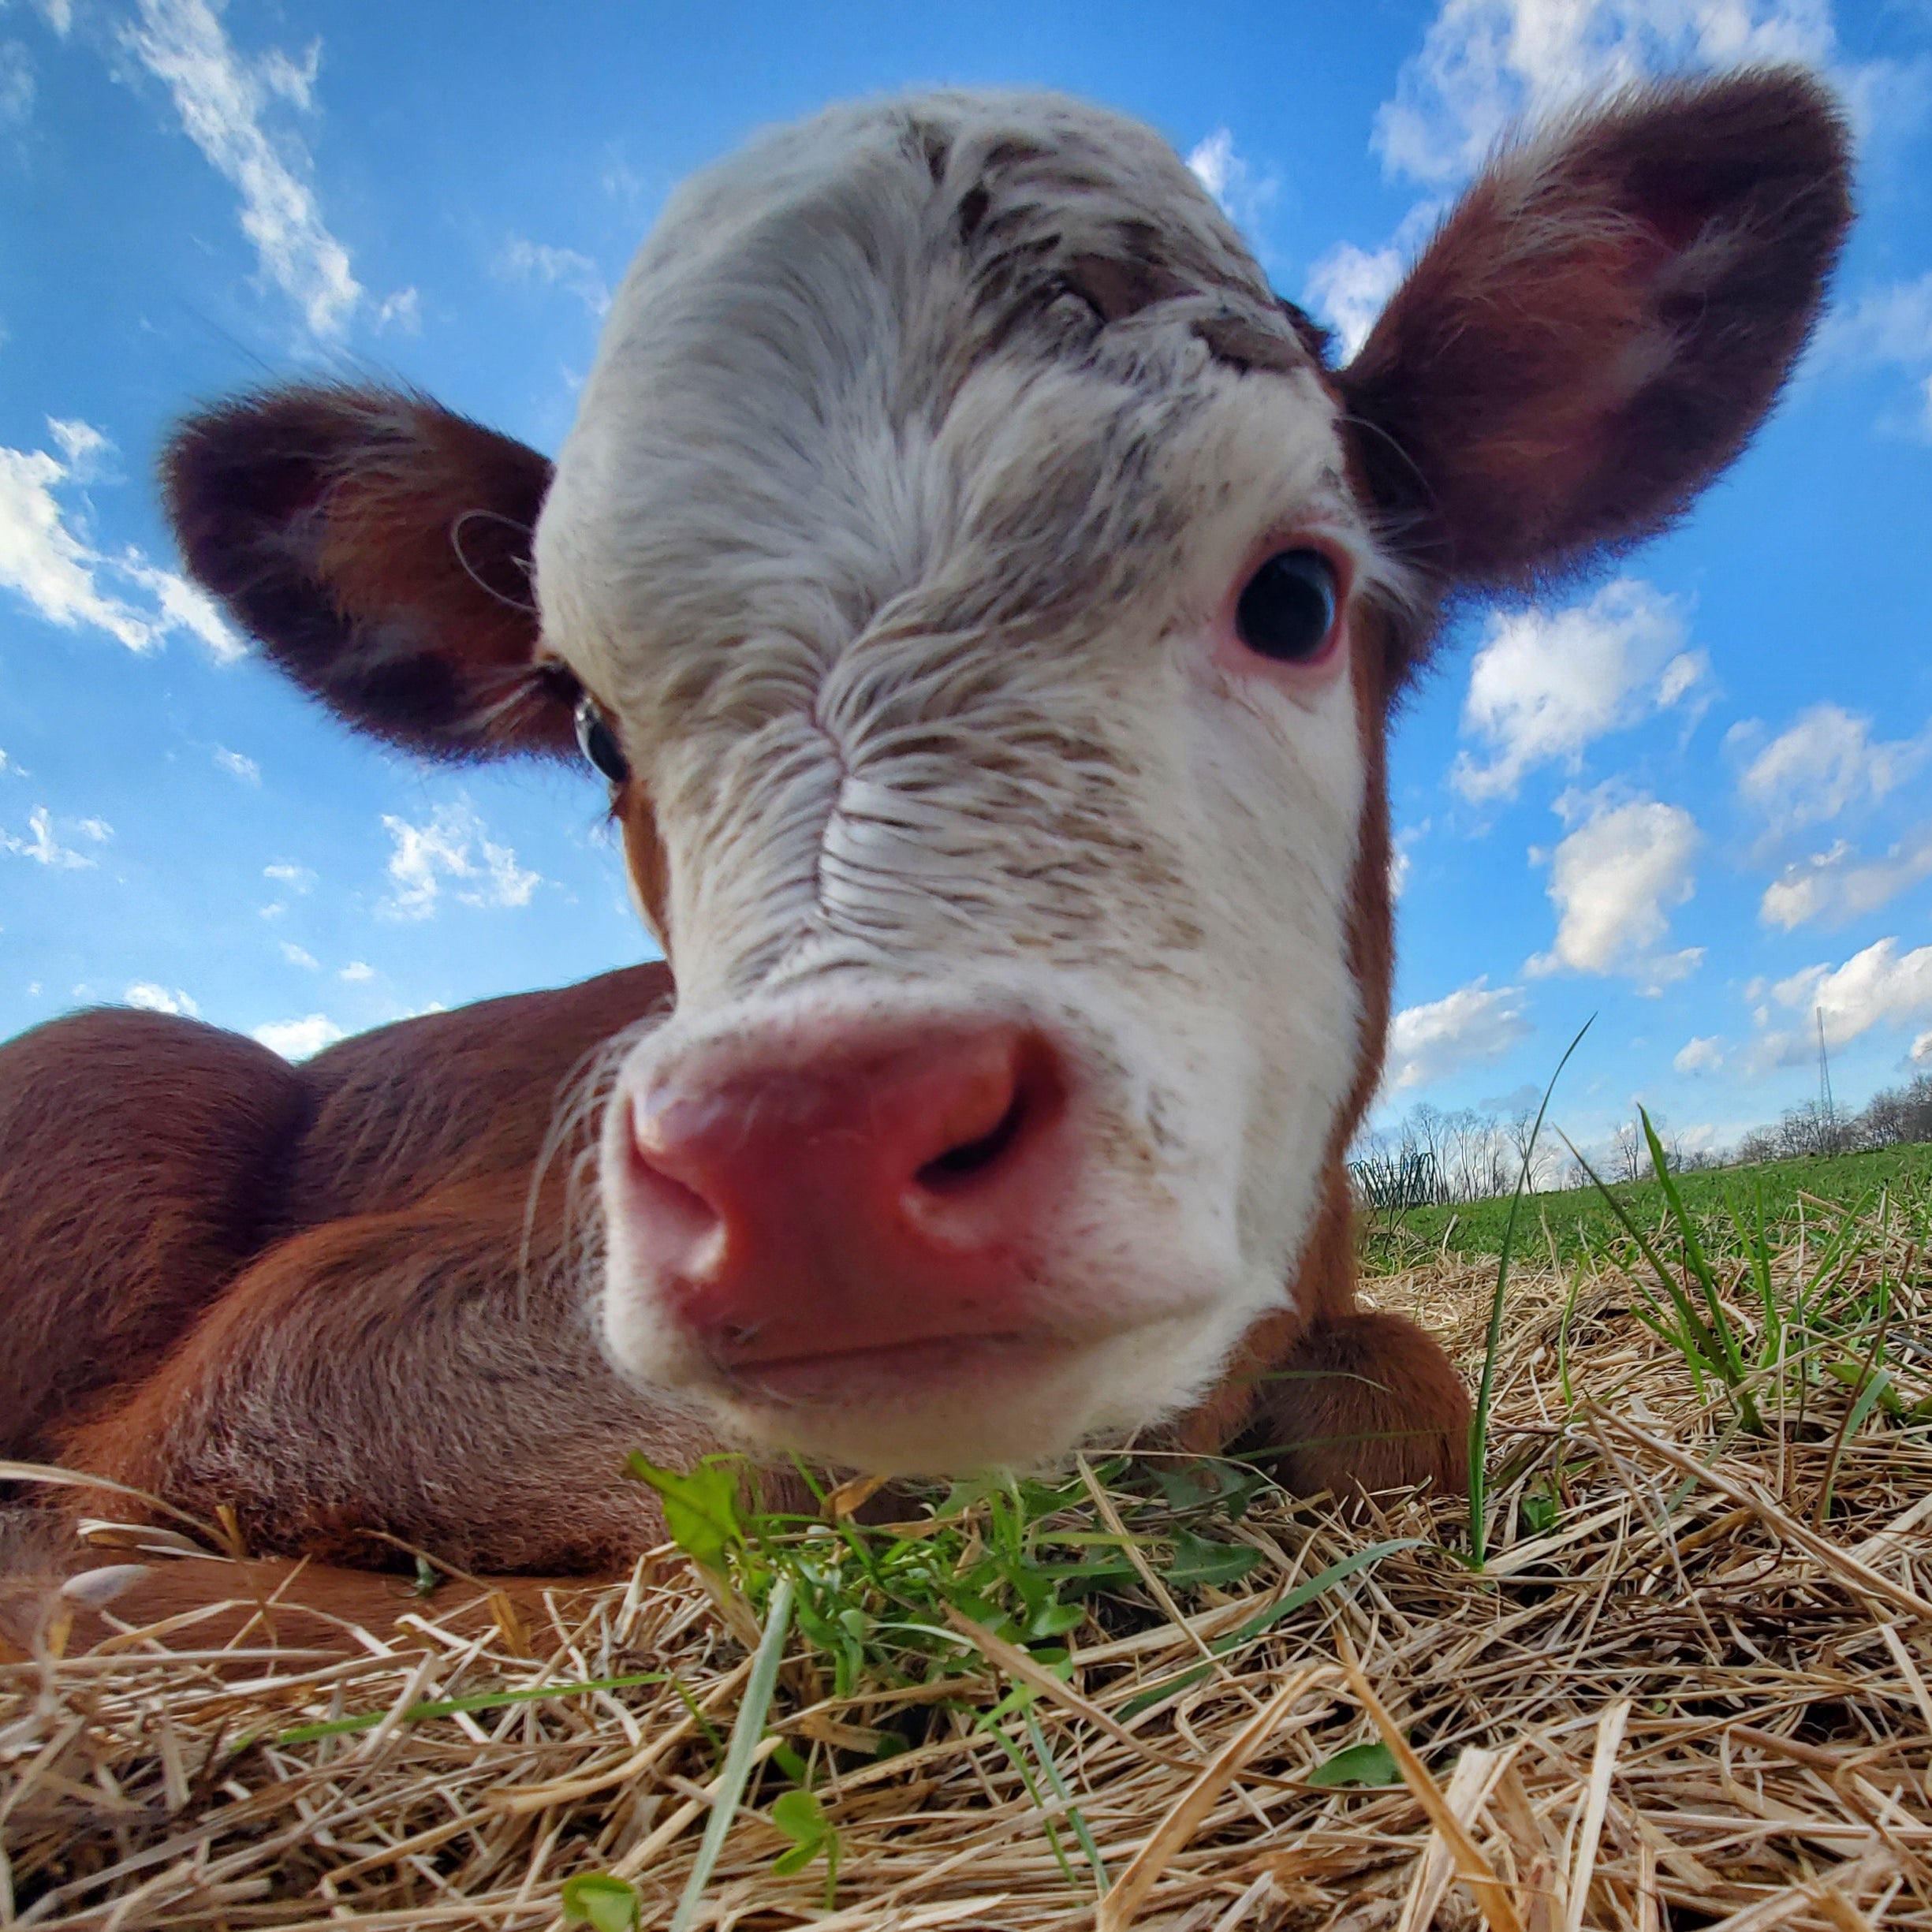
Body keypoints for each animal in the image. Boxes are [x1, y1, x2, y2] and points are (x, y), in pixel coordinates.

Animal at [0, 71, 1849, 1599]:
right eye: (593, 724)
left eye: (1296, 595)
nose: (809, 1143)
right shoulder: (327, 1319)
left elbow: (1408, 1388)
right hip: (125, 1075)